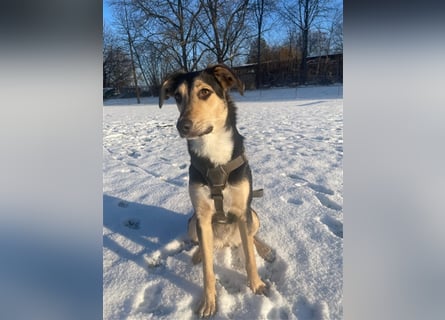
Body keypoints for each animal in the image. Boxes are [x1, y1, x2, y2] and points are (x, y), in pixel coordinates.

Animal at [158, 64, 272, 318]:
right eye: (177, 96)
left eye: (204, 92)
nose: (182, 126)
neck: (213, 151)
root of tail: (226, 242)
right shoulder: (201, 215)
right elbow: (208, 271)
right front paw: (208, 302)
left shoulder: (242, 210)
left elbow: (249, 258)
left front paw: (257, 285)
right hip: (192, 223)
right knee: (203, 243)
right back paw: (200, 253)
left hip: (253, 214)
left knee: (250, 237)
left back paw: (264, 249)